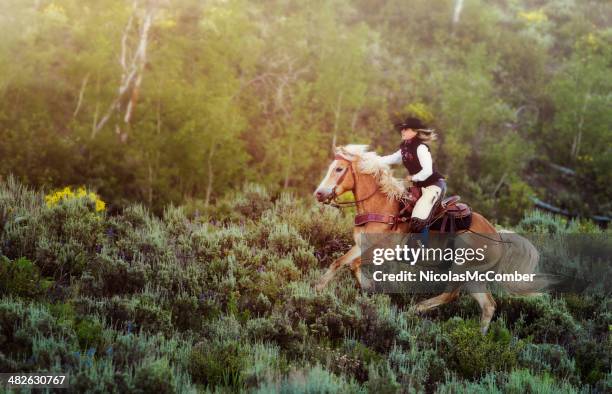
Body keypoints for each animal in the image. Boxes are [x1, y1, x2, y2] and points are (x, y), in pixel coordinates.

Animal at [314, 145, 544, 332]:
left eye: (339, 169)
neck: (384, 207)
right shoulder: (362, 245)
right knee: (488, 305)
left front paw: (370, 286)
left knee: (451, 295)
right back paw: (481, 338)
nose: (319, 194)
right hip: (475, 277)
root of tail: (497, 236)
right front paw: (318, 288)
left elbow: (353, 264)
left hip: (462, 269)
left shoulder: (384, 251)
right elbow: (340, 262)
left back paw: (416, 309)